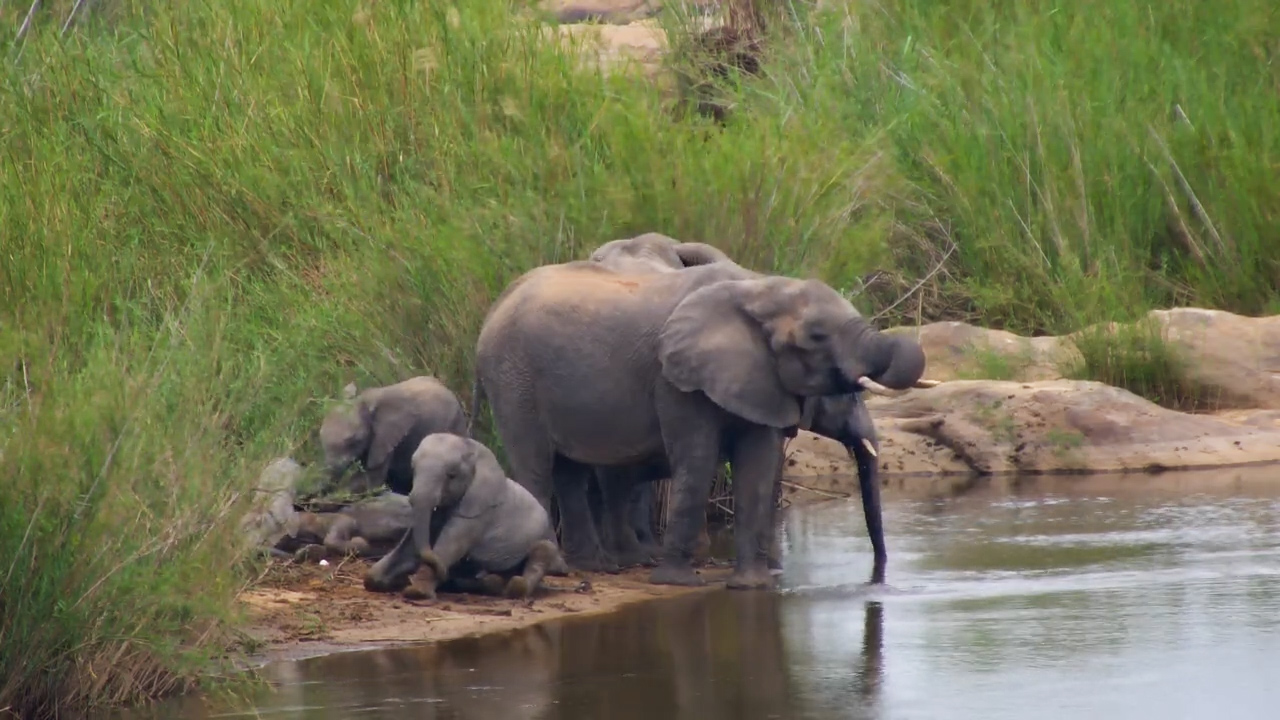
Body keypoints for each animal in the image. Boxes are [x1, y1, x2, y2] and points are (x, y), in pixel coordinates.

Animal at [363, 433, 570, 600]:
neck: (474, 449)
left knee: (543, 551)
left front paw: (417, 593)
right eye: (413, 469)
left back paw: (512, 586)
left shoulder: (479, 510)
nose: (444, 573)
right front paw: (378, 579)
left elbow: (451, 546)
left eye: (451, 475)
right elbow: (410, 545)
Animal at [472, 258, 929, 590]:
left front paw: (754, 585)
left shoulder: (759, 378)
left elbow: (757, 466)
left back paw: (593, 566)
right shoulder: (674, 378)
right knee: (537, 468)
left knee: (570, 472)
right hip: (512, 379)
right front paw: (677, 582)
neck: (761, 288)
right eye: (816, 336)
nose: (878, 578)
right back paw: (562, 568)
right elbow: (698, 458)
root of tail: (493, 309)